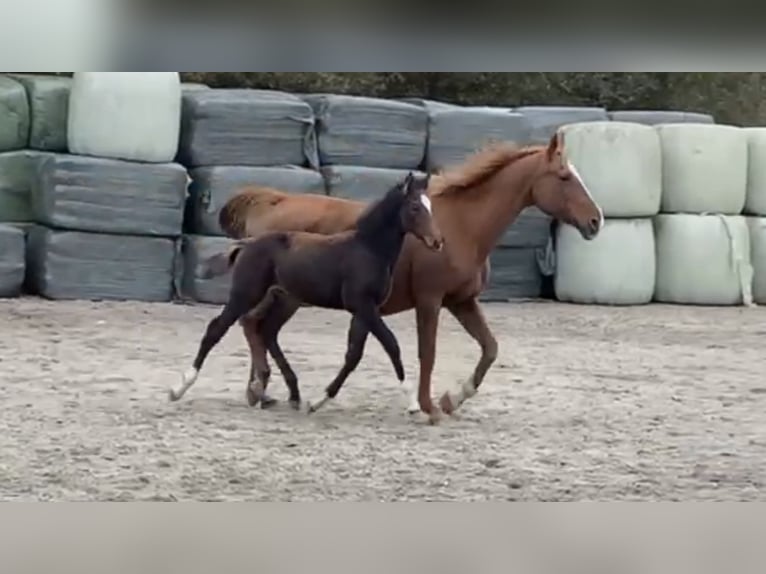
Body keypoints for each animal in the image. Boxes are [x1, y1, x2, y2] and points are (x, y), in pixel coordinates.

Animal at [168, 171, 444, 409]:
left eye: (431, 206)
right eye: (415, 207)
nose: (437, 242)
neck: (368, 250)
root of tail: (246, 244)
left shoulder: (366, 309)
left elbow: (354, 354)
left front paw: (319, 401)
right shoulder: (362, 305)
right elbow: (391, 344)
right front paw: (412, 403)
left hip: (283, 299)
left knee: (265, 331)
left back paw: (284, 393)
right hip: (246, 294)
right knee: (217, 329)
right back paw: (179, 388)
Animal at [215, 131, 603, 424]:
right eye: (565, 177)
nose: (596, 220)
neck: (461, 227)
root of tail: (273, 202)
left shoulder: (462, 302)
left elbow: (490, 348)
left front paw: (452, 399)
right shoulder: (430, 301)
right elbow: (426, 352)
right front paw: (429, 406)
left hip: (290, 297)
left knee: (264, 330)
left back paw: (274, 392)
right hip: (275, 294)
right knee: (251, 325)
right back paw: (260, 389)